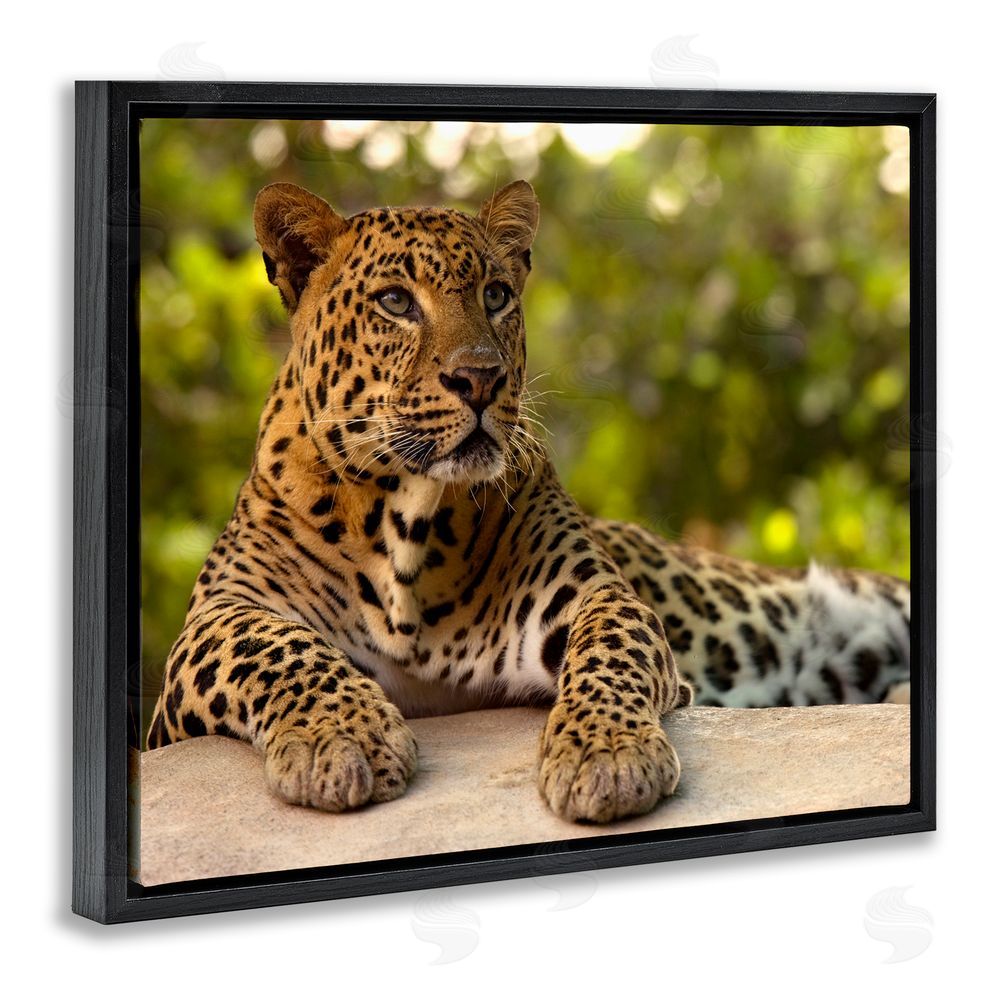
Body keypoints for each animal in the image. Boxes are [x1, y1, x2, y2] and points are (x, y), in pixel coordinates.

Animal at [146, 179, 910, 823]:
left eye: (495, 295)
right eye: (395, 302)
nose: (480, 379)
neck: (405, 519)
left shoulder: (590, 594)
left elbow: (611, 649)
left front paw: (606, 755)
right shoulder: (208, 630)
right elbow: (276, 646)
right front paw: (342, 738)